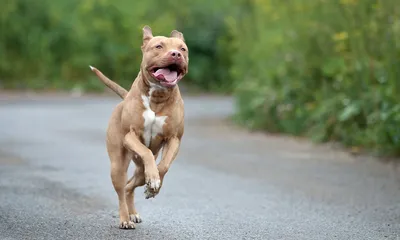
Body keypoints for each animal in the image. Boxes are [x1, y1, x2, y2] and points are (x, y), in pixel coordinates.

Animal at [89, 25, 188, 229]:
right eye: (159, 46)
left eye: (183, 49)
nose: (175, 54)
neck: (157, 96)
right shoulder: (130, 136)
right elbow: (146, 152)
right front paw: (154, 183)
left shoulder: (174, 139)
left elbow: (163, 166)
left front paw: (154, 186)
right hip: (117, 165)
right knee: (121, 189)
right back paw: (125, 219)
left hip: (139, 170)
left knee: (131, 184)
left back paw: (135, 209)